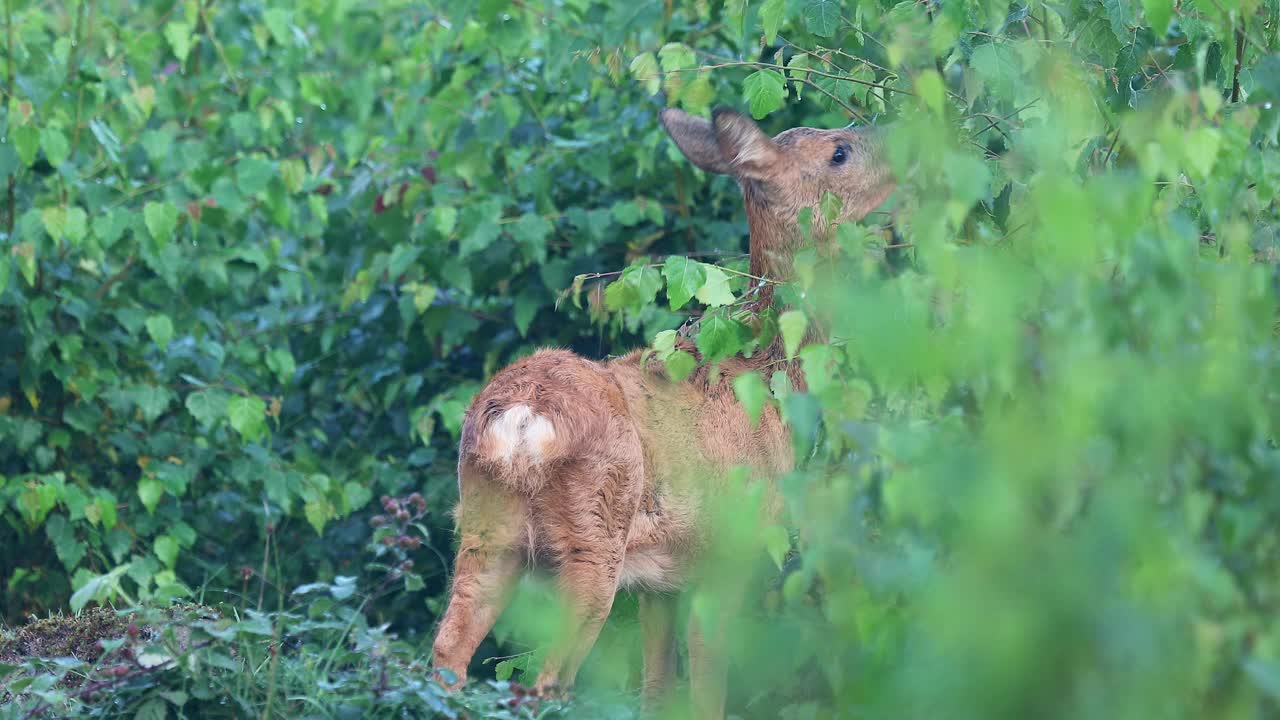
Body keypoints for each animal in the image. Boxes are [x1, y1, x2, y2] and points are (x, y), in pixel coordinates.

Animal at [430, 103, 890, 712]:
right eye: (838, 151)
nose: (904, 136)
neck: (767, 375)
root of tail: (520, 416)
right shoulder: (729, 547)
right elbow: (706, 692)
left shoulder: (660, 583)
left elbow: (657, 689)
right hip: (593, 536)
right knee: (546, 680)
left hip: (486, 527)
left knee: (446, 654)